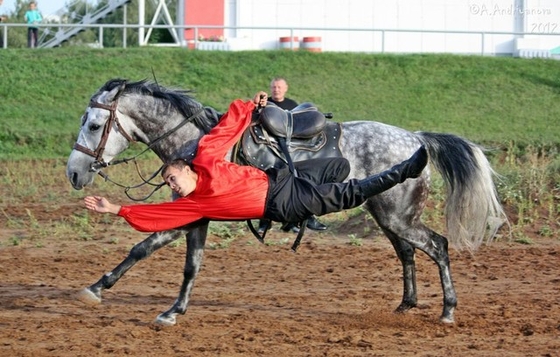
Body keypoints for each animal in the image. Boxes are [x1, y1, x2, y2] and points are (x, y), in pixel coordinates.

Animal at [68, 78, 506, 326]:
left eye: (94, 124)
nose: (74, 173)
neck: (197, 140)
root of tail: (417, 139)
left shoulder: (194, 215)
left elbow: (170, 257)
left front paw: (160, 307)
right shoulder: (193, 213)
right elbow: (155, 252)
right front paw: (104, 288)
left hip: (399, 217)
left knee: (438, 246)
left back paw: (447, 310)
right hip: (388, 216)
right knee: (408, 253)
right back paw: (406, 304)